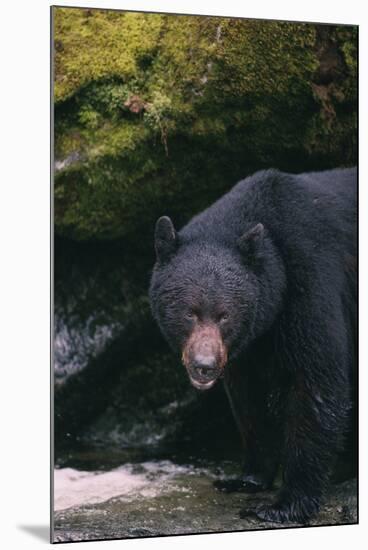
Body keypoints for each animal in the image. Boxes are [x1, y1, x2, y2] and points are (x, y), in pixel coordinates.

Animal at [149, 169, 356, 528]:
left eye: (225, 314)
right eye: (189, 312)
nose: (204, 365)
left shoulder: (312, 280)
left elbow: (316, 380)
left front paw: (284, 504)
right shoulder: (251, 344)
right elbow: (249, 397)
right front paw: (246, 478)